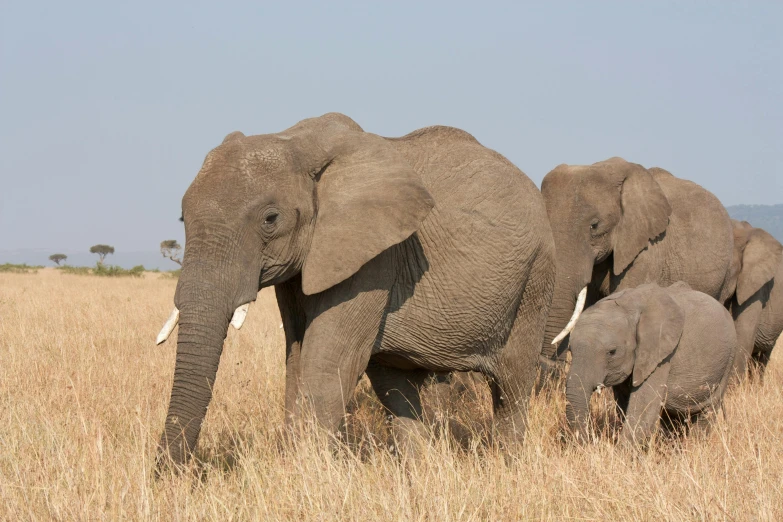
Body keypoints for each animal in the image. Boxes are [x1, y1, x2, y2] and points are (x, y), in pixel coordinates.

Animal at [155, 111, 556, 466]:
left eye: (270, 219)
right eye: (183, 218)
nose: (169, 475)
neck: (297, 141)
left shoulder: (375, 256)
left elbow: (326, 364)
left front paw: (306, 473)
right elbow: (297, 360)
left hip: (534, 278)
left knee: (511, 385)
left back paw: (508, 465)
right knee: (398, 389)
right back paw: (421, 471)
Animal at [568, 280, 740, 442]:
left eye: (612, 352)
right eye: (570, 350)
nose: (592, 440)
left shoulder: (661, 355)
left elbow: (643, 409)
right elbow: (625, 404)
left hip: (728, 360)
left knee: (707, 412)